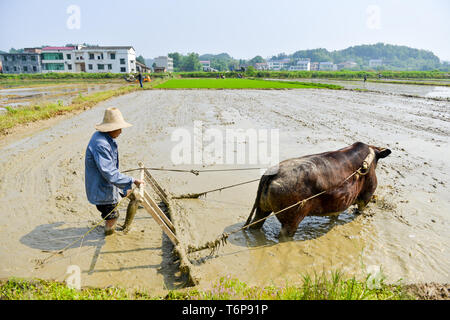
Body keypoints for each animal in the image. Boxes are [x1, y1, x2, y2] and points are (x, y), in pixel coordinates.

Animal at [243, 142, 390, 238]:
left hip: (262, 210)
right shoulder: (366, 196)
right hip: (291, 221)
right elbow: (360, 209)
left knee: (255, 224)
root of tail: (271, 174)